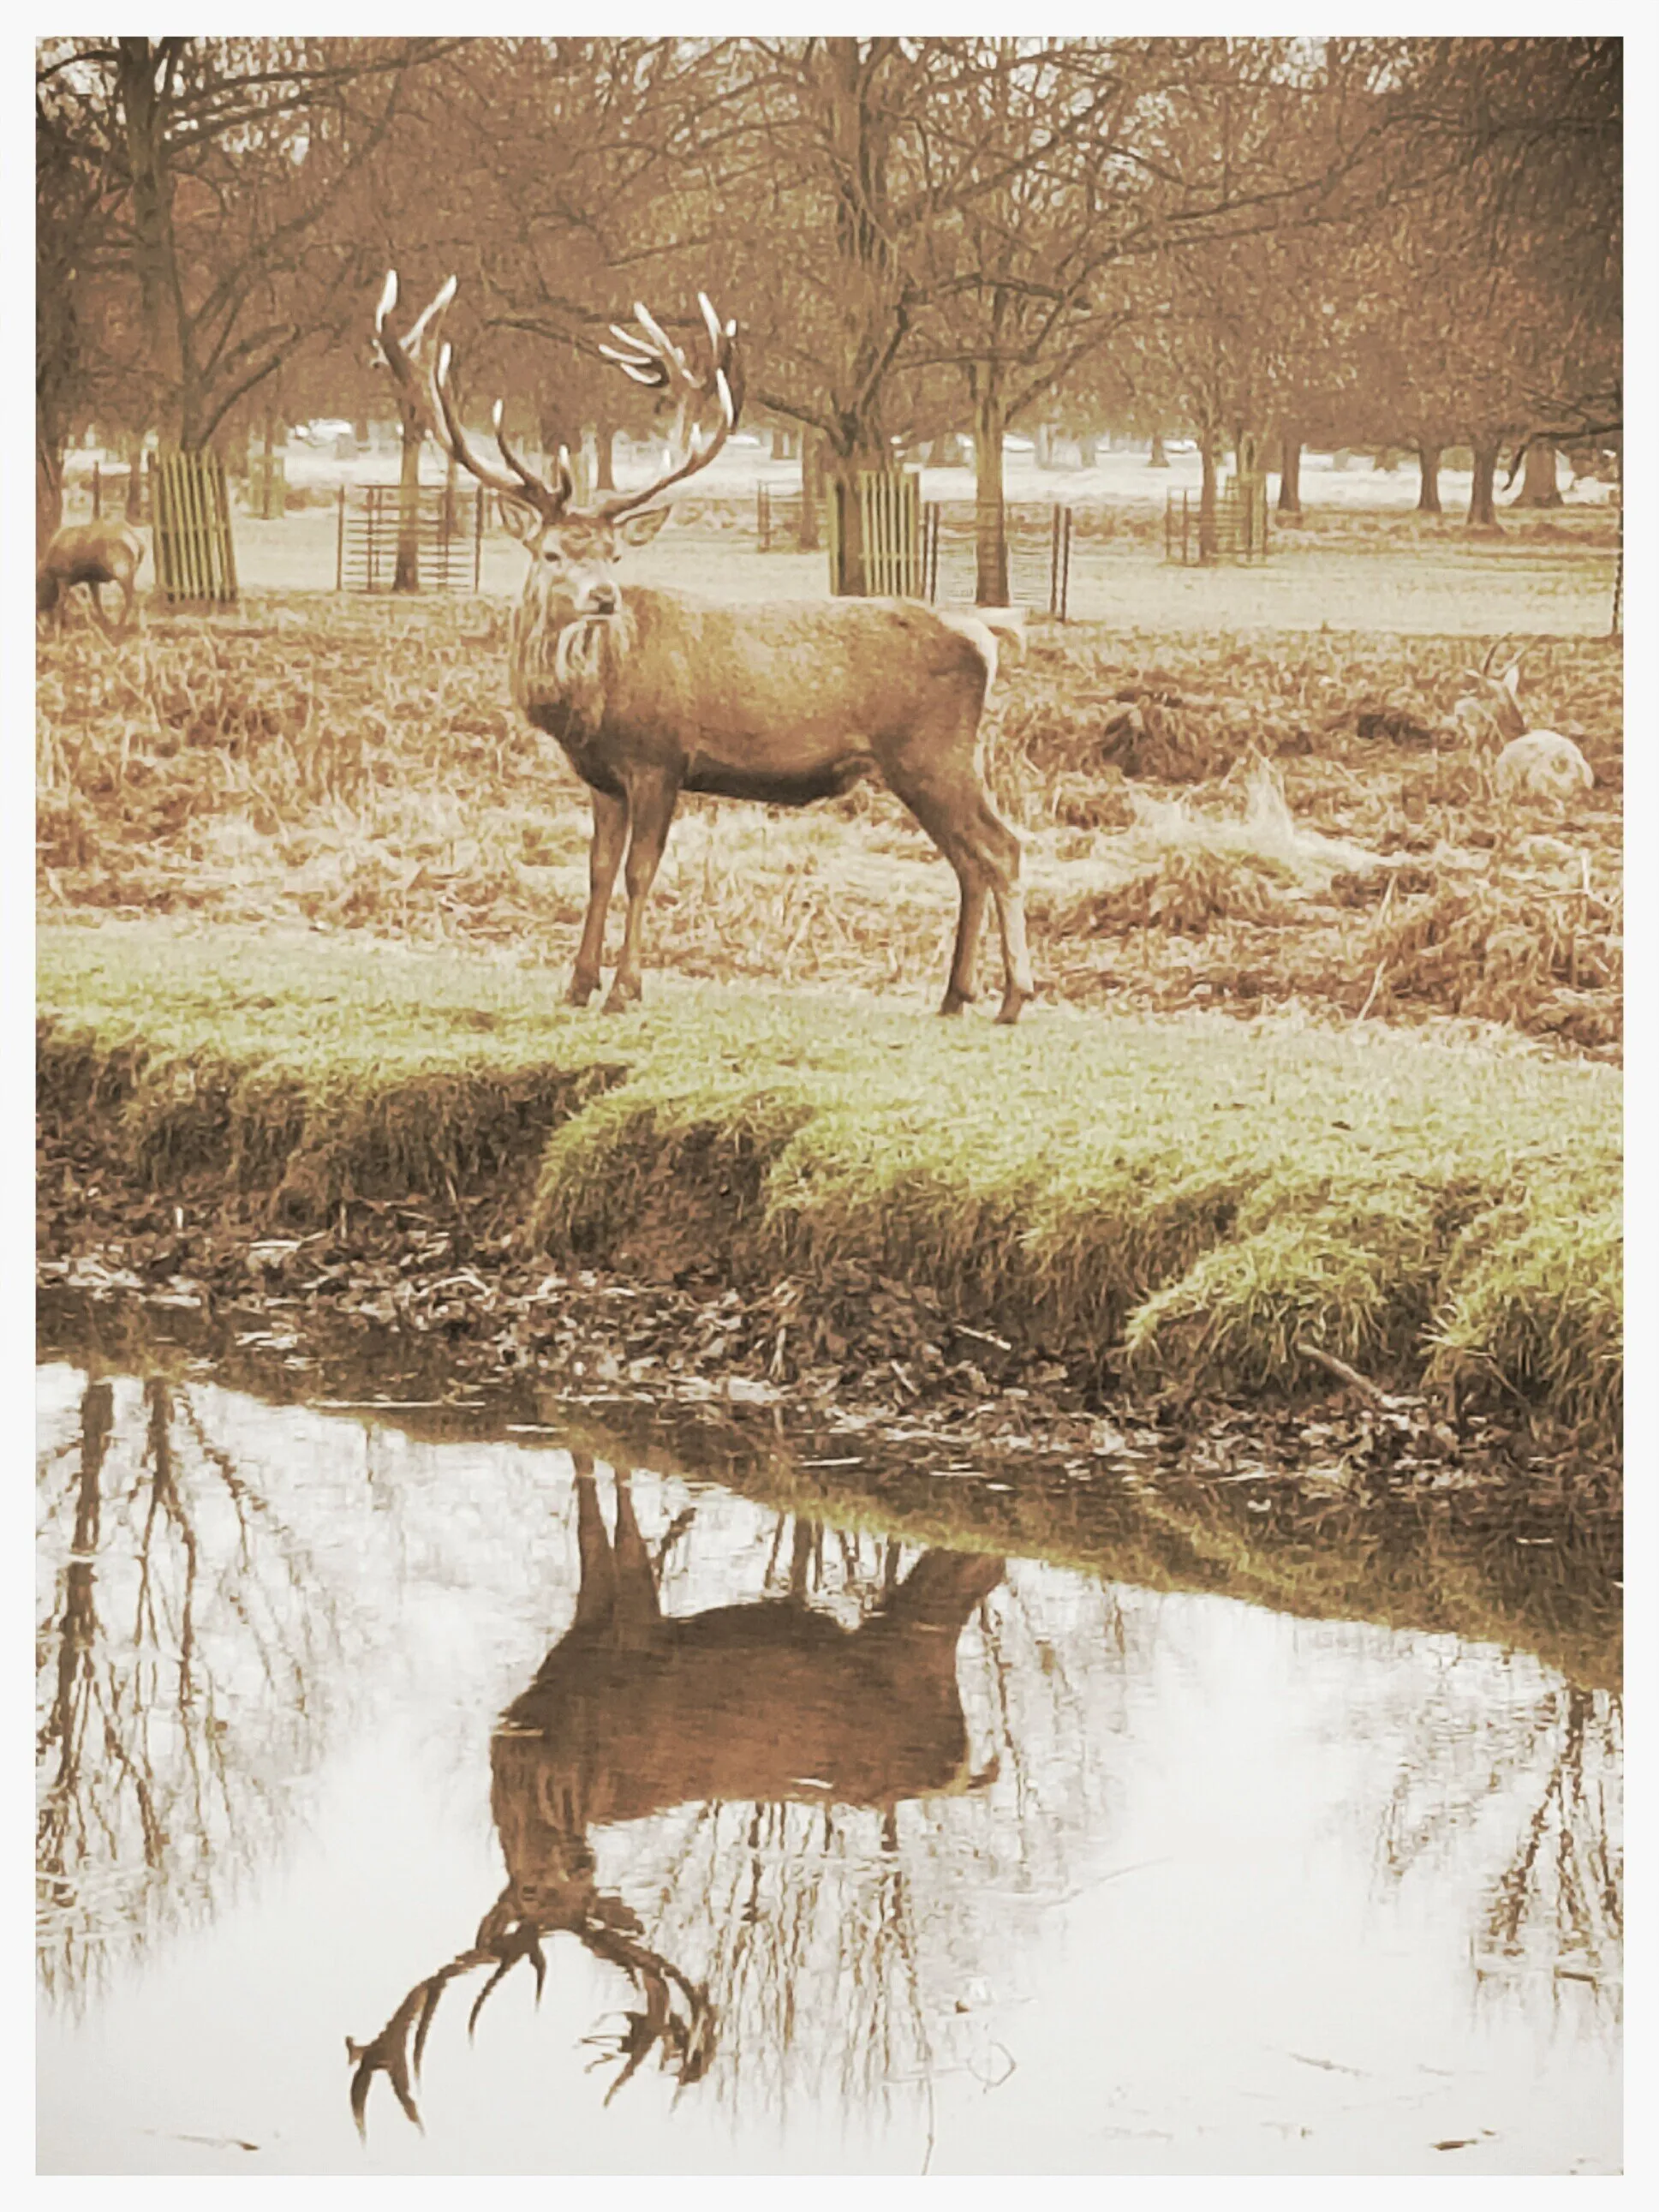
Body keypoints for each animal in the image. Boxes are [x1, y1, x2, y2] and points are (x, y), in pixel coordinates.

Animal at [36, 520, 145, 637]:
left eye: (38, 588)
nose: (37, 607)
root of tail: (138, 542)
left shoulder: (64, 578)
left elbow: (60, 605)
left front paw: (59, 634)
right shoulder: (92, 580)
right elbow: (96, 603)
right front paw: (104, 625)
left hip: (123, 573)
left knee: (133, 599)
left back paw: (122, 630)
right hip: (131, 573)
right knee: (137, 597)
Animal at [347, 1457, 1004, 2135]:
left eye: (574, 1885)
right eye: (529, 1891)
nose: (576, 1858)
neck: (551, 1731)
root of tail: (954, 1768)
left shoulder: (634, 1628)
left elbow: (617, 1527)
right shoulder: (590, 1624)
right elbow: (588, 1517)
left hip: (910, 1658)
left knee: (976, 1576)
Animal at [374, 273, 1035, 1023]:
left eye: (613, 554)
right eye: (550, 553)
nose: (604, 597)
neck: (591, 706)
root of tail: (985, 637)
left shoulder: (661, 757)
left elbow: (640, 871)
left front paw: (625, 988)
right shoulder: (602, 777)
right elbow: (597, 871)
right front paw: (576, 982)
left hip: (934, 752)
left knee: (1002, 848)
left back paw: (1013, 995)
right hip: (929, 763)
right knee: (968, 861)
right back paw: (955, 994)